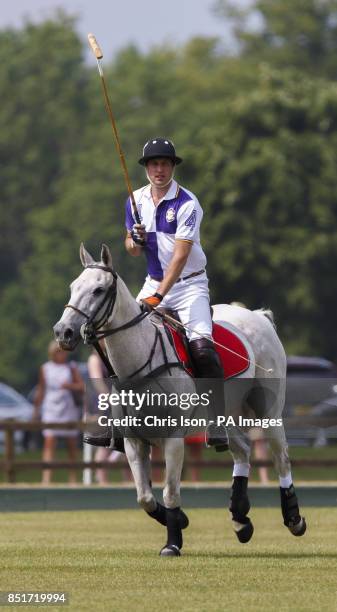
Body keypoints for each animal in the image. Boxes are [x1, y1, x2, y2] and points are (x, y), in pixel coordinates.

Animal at [53, 244, 306, 556]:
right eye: (73, 287)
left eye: (98, 290)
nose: (63, 332)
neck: (139, 362)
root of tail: (259, 316)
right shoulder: (134, 441)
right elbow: (144, 497)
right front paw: (181, 521)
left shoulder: (173, 438)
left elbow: (170, 491)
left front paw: (172, 543)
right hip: (227, 414)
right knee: (242, 450)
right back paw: (240, 519)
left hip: (268, 410)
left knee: (281, 457)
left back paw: (293, 518)